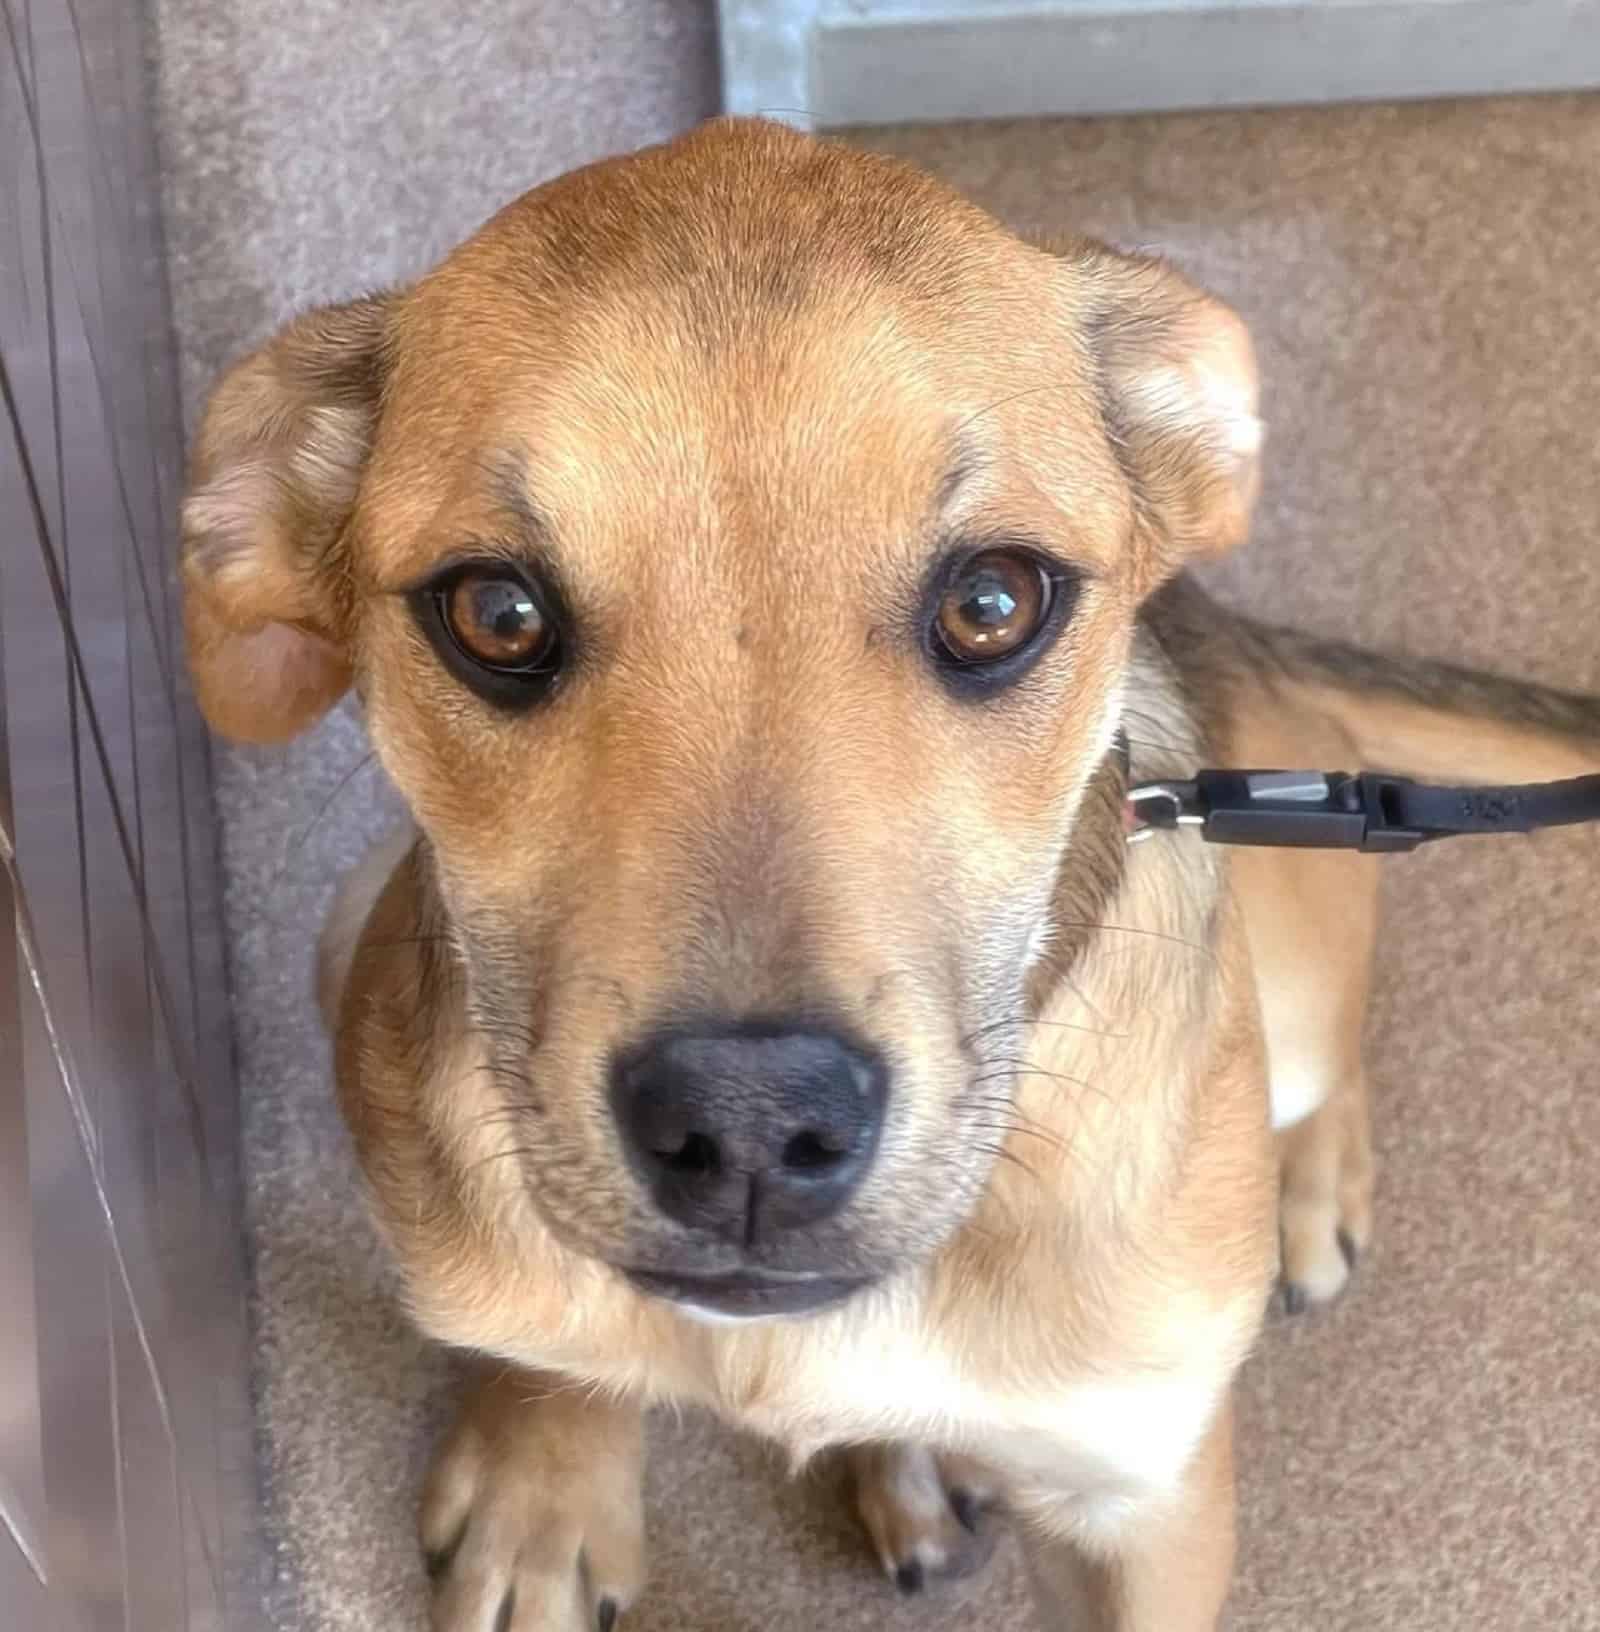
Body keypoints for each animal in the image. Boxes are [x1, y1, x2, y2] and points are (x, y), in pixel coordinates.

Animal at [177, 118, 1600, 1632]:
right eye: (496, 614)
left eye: (993, 602)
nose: (746, 1125)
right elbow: (550, 1350)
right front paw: (544, 1472)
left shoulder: (1141, 1501)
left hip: (1301, 948)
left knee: (1327, 1056)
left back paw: (1307, 1192)